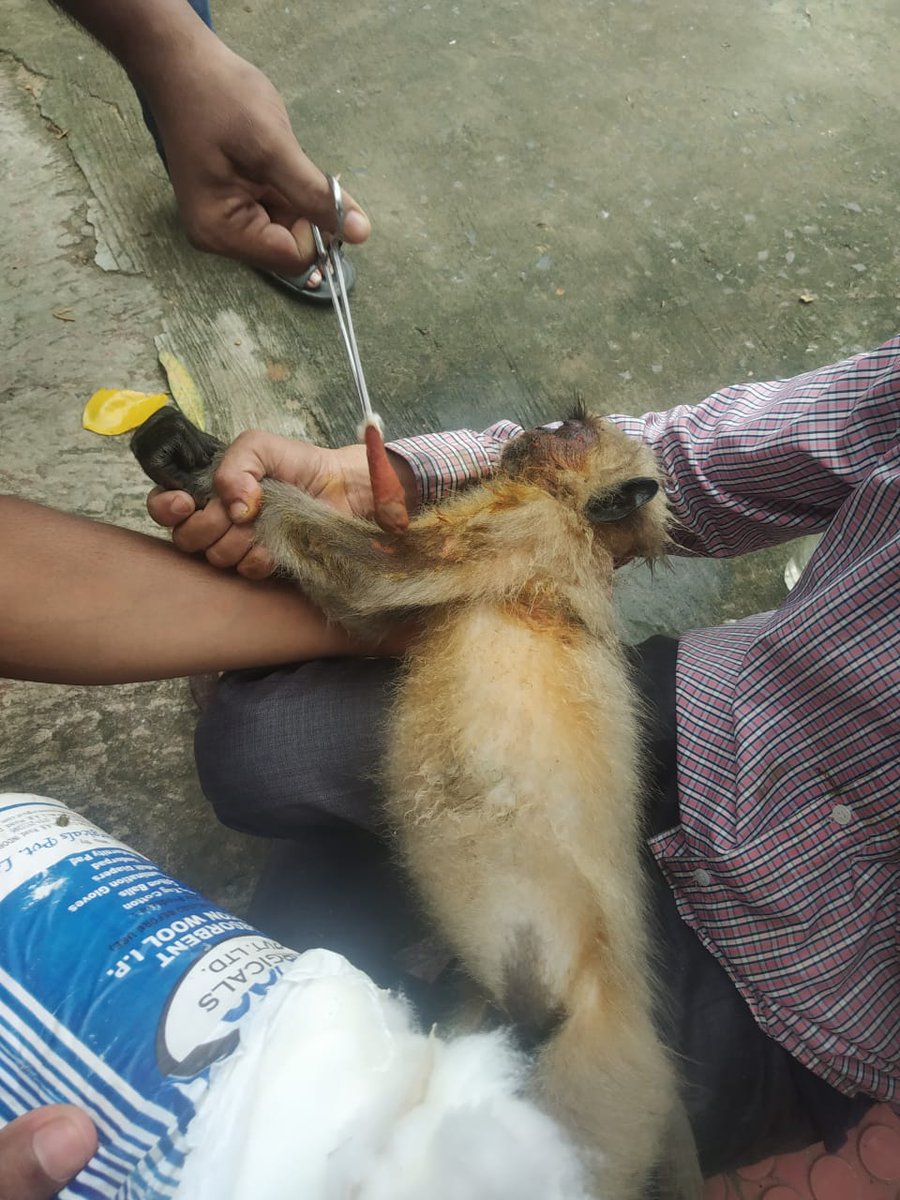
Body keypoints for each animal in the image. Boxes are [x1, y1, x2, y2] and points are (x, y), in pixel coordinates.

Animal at [132, 406, 703, 1200]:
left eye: (568, 433)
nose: (525, 432)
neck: (579, 529)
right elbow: (368, 614)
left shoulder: (529, 524)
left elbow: (380, 578)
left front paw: (203, 463)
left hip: (587, 1094)